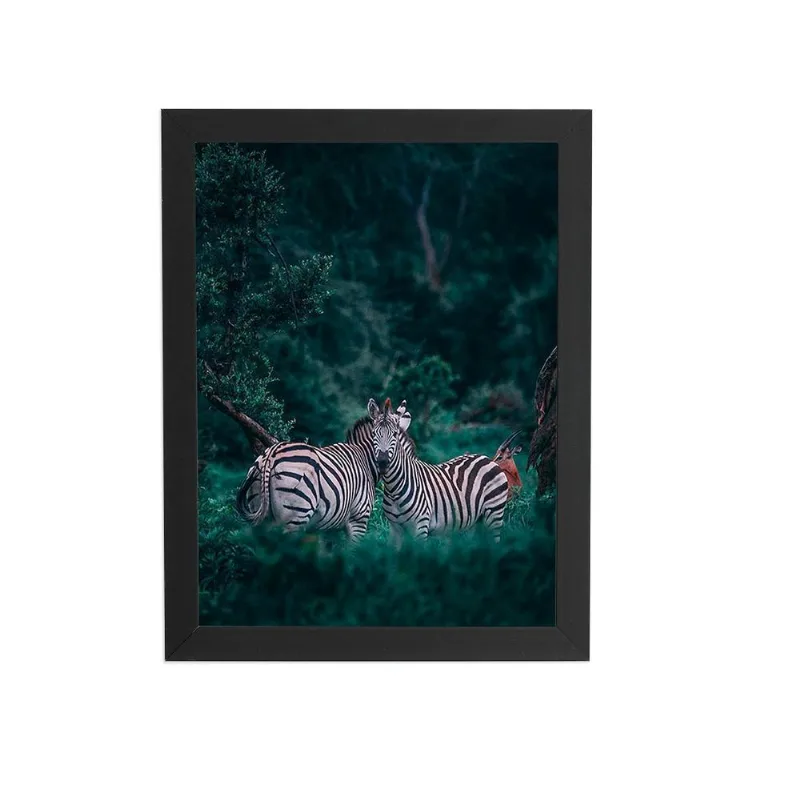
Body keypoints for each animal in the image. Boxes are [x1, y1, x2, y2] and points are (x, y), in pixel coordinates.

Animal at [235, 412, 408, 544]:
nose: (383, 463)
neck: (364, 459)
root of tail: (271, 453)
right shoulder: (359, 518)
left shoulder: (327, 527)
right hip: (295, 516)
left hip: (260, 510)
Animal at [367, 397, 510, 543]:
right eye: (373, 434)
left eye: (395, 435)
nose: (382, 463)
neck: (394, 488)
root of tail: (487, 458)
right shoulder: (395, 529)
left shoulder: (420, 526)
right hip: (475, 522)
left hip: (494, 513)